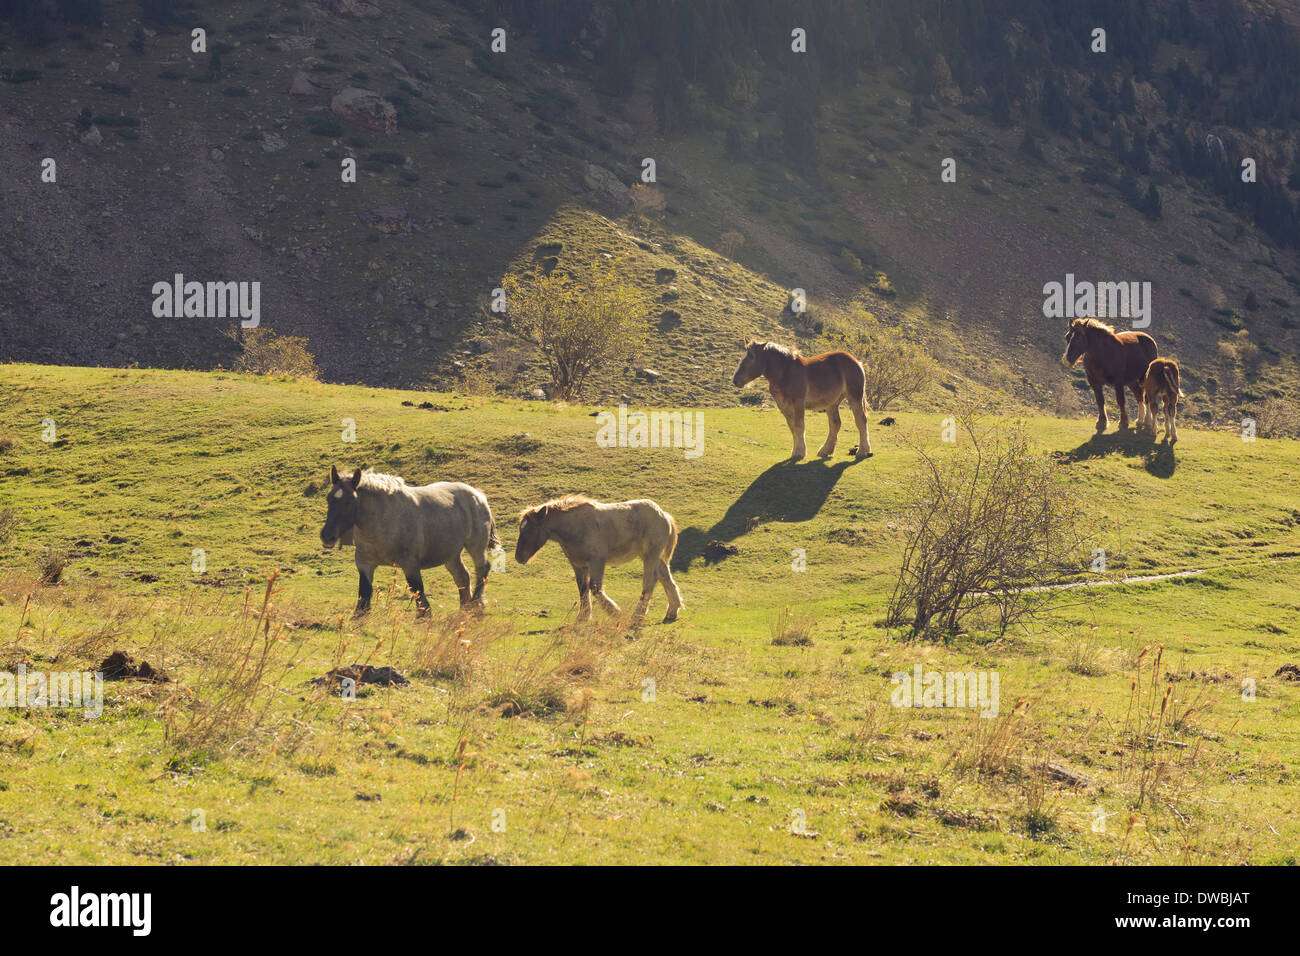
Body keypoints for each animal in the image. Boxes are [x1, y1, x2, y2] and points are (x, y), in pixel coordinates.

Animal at [514, 496, 686, 624]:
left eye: (530, 530)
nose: (519, 557)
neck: (576, 526)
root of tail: (664, 514)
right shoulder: (578, 565)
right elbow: (583, 589)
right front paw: (582, 619)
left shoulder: (597, 561)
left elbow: (595, 588)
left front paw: (617, 614)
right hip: (652, 556)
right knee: (666, 579)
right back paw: (672, 611)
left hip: (651, 555)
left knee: (650, 581)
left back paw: (636, 617)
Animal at [733, 343, 873, 463]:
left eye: (751, 356)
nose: (735, 380)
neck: (785, 372)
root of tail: (857, 362)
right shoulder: (784, 406)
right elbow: (792, 427)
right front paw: (796, 451)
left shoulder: (798, 403)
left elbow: (799, 426)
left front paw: (800, 452)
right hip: (832, 403)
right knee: (835, 424)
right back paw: (825, 451)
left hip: (854, 397)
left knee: (861, 421)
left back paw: (862, 451)